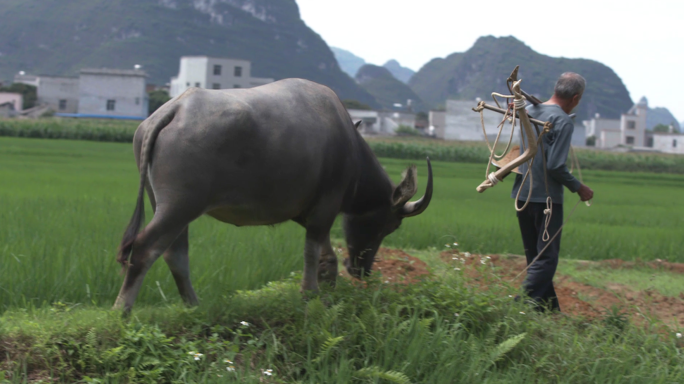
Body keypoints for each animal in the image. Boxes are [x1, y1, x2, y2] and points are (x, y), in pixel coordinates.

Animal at [114, 78, 430, 312]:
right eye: (389, 225)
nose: (362, 271)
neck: (349, 147)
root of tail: (175, 108)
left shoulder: (307, 211)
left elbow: (327, 255)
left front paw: (327, 290)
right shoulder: (326, 206)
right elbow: (312, 251)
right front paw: (309, 293)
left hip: (165, 204)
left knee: (175, 254)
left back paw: (194, 306)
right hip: (180, 206)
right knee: (145, 249)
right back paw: (122, 310)